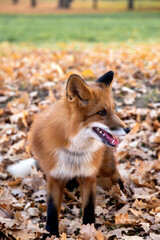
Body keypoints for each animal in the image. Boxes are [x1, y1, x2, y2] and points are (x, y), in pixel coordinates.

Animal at [27, 71, 130, 236]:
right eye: (101, 112)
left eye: (114, 110)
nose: (128, 129)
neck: (75, 152)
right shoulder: (54, 176)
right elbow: (52, 207)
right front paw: (51, 233)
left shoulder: (88, 175)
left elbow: (89, 206)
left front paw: (89, 229)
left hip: (108, 168)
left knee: (117, 178)